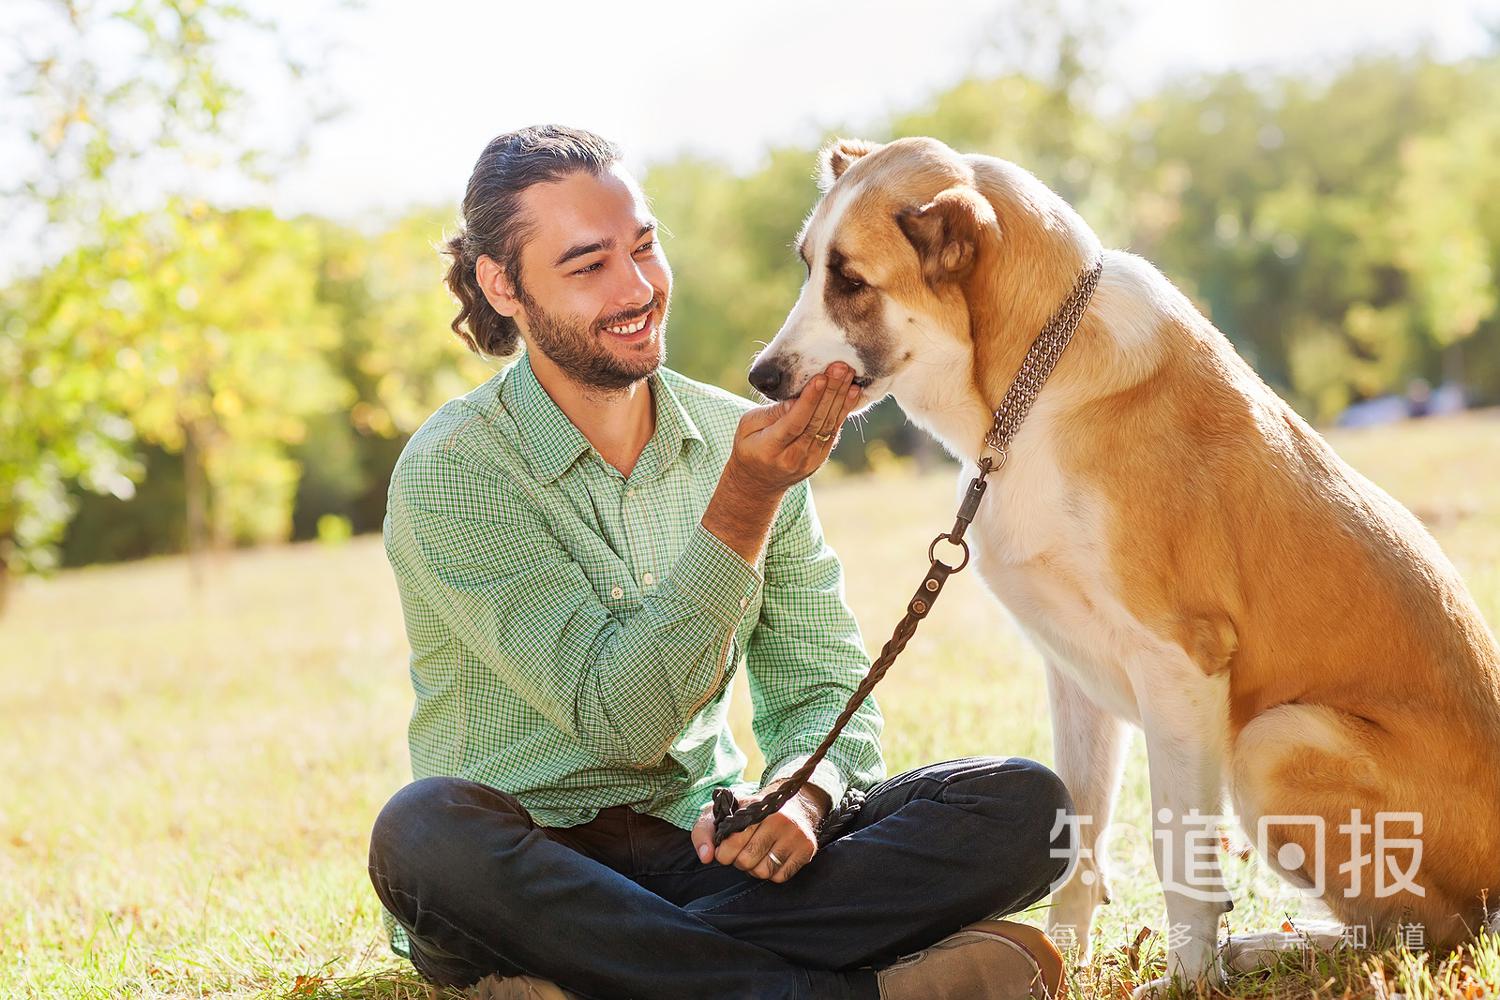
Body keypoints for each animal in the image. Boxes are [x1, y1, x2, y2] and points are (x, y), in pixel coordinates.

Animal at [747, 138, 1500, 995]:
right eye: (809, 266)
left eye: (851, 282)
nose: (761, 378)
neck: (1030, 386)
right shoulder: (1073, 675)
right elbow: (1078, 834)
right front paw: (1062, 961)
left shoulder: (1179, 666)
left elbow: (1179, 848)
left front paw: (1189, 979)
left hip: (1275, 740)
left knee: (1421, 933)